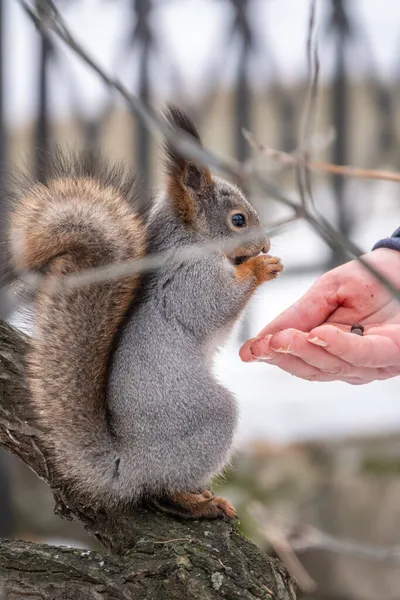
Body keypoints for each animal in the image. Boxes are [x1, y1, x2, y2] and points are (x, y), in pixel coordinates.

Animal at [8, 108, 284, 520]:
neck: (190, 241)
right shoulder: (188, 281)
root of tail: (127, 465)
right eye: (238, 220)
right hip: (207, 419)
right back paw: (198, 501)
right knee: (162, 488)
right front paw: (262, 268)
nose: (265, 245)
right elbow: (218, 302)